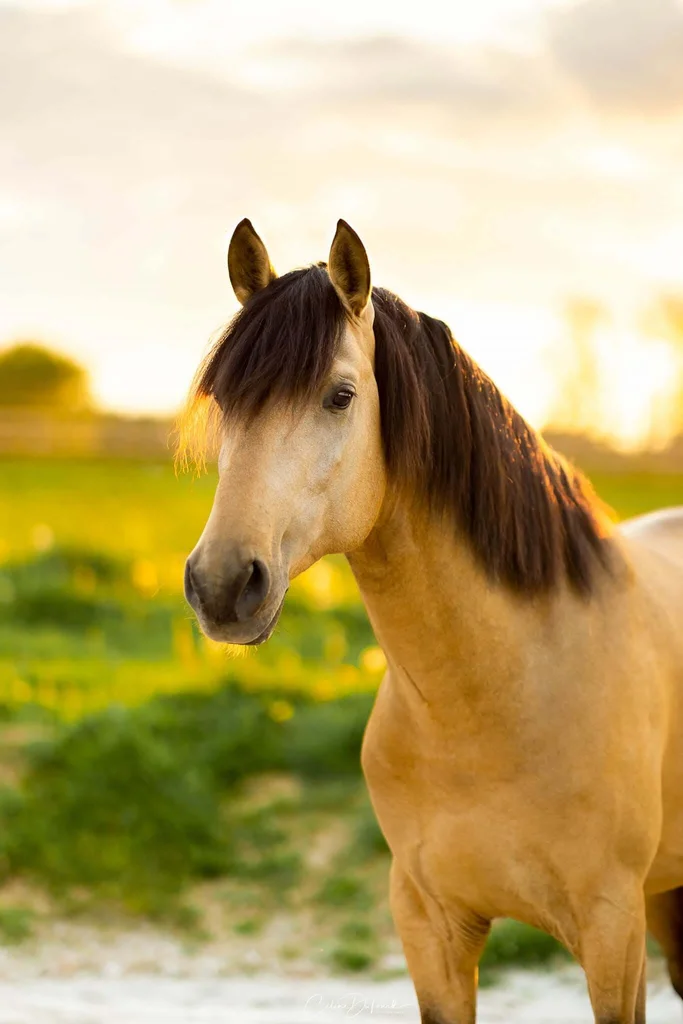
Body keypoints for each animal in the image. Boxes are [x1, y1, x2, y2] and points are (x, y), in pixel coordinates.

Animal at [180, 218, 683, 1024]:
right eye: (224, 398)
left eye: (340, 396)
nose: (223, 585)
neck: (498, 695)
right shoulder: (429, 925)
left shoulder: (612, 931)